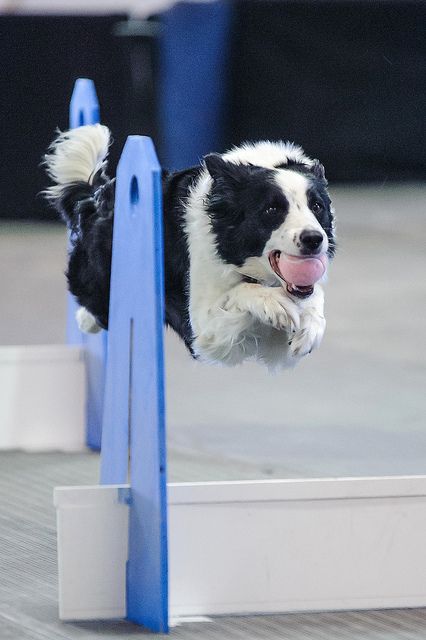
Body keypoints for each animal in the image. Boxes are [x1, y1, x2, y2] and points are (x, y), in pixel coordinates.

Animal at [44, 124, 336, 370]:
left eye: (317, 206)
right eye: (272, 209)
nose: (314, 239)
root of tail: (95, 196)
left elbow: (314, 296)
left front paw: (310, 326)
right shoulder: (203, 330)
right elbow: (239, 292)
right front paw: (275, 303)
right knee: (92, 305)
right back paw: (85, 320)